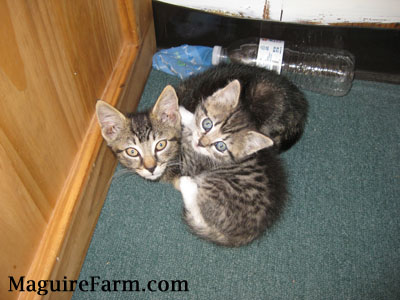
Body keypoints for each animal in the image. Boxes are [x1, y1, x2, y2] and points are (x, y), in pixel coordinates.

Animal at [176, 79, 288, 246]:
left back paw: (188, 185)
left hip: (216, 186)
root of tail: (242, 235)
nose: (201, 143)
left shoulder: (193, 163)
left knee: (200, 214)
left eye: (221, 146)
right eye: (207, 124)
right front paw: (185, 113)